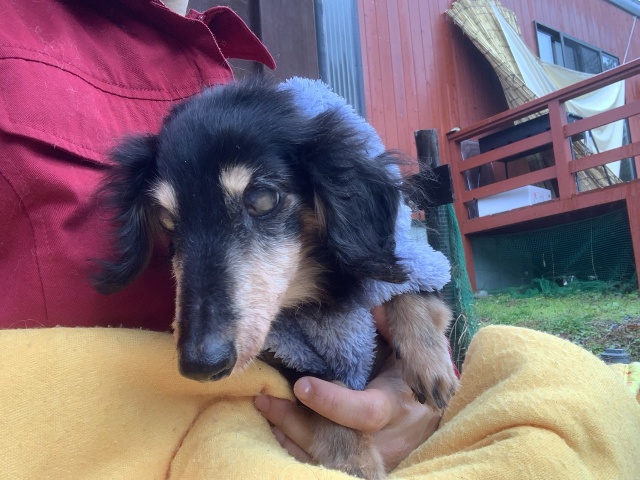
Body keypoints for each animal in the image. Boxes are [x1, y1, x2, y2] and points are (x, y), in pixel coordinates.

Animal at [94, 77, 458, 479]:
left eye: (262, 198)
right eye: (166, 220)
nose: (200, 365)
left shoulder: (404, 263)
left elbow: (412, 292)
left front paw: (431, 366)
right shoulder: (295, 360)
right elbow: (324, 398)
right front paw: (355, 462)